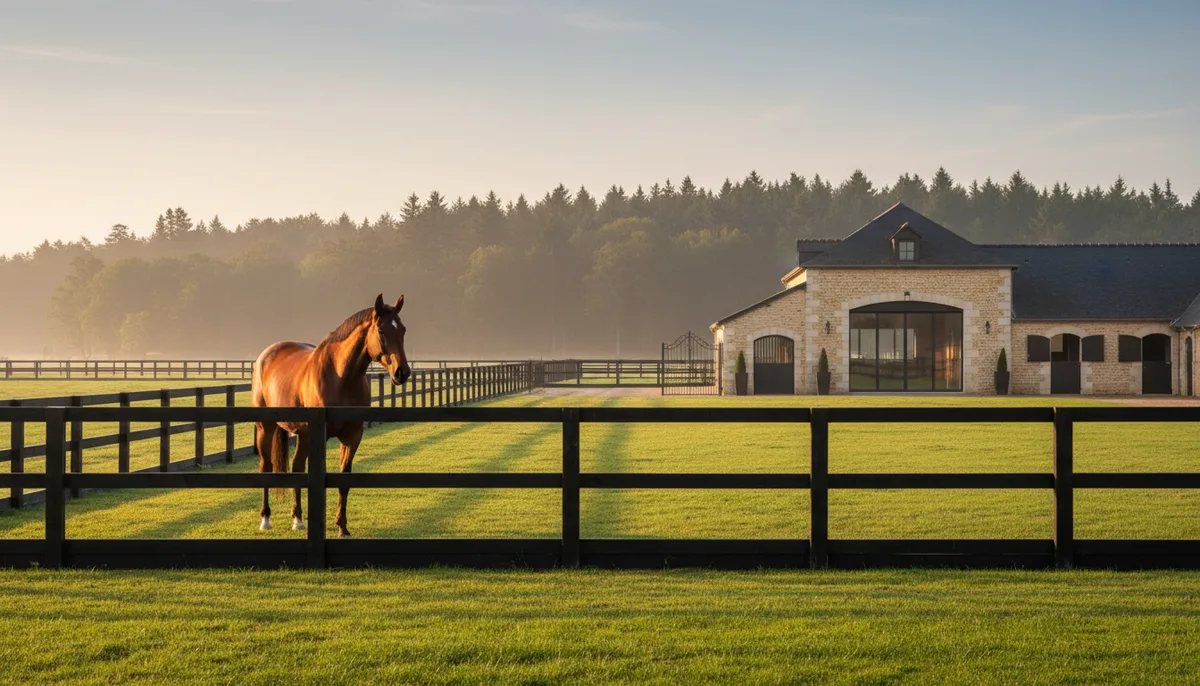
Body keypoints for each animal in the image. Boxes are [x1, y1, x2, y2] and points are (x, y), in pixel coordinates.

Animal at [251, 293, 411, 537]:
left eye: (402, 329)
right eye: (381, 330)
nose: (402, 373)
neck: (341, 378)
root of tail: (266, 355)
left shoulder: (352, 437)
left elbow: (343, 480)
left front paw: (342, 527)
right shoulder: (320, 435)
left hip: (302, 434)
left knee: (297, 467)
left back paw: (298, 519)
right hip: (266, 428)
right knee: (266, 467)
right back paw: (266, 518)